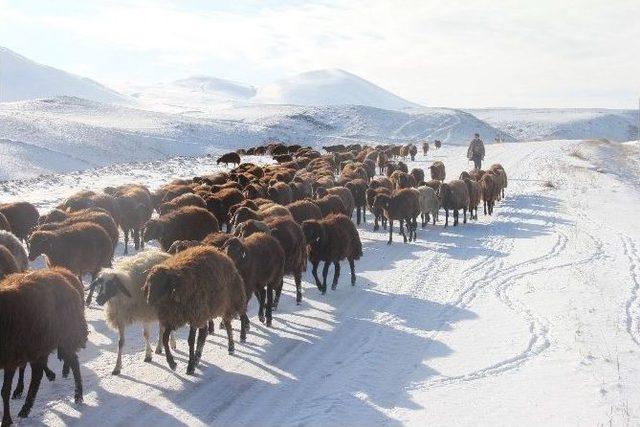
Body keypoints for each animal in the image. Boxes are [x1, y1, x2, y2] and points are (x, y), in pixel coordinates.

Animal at [0, 268, 87, 424]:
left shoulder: (11, 357)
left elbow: (4, 390)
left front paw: (6, 420)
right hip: (38, 344)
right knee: (38, 373)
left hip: (64, 336)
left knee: (73, 362)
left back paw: (78, 395)